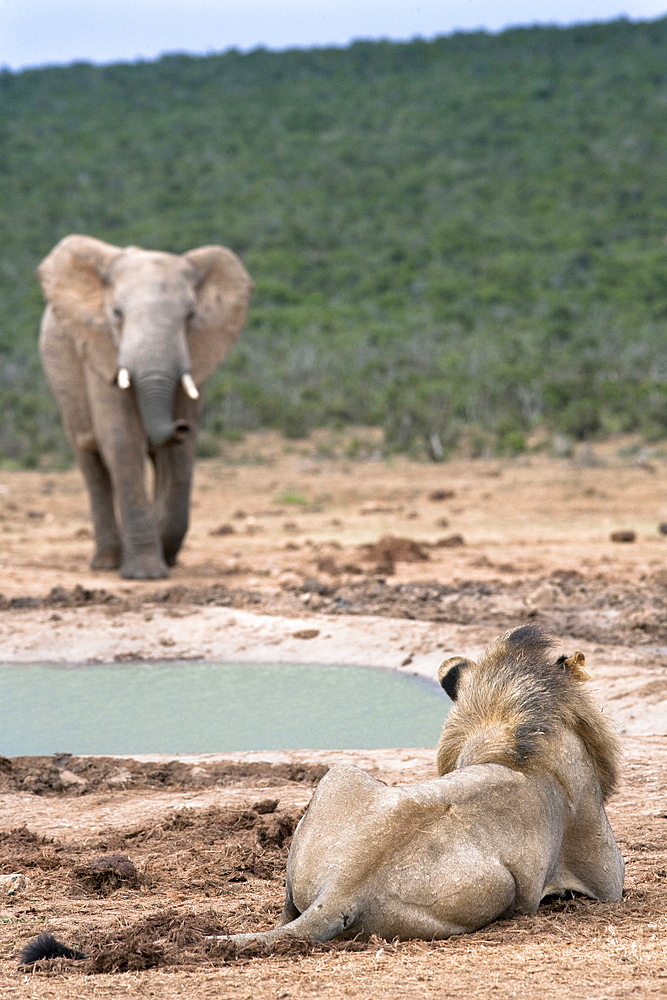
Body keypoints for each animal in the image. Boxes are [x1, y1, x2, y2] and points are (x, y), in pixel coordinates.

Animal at [37, 234, 254, 580]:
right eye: (116, 313)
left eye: (190, 316)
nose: (180, 426)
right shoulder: (99, 349)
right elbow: (122, 441)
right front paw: (145, 575)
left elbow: (179, 455)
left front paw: (164, 559)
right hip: (60, 374)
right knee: (91, 463)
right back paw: (107, 562)